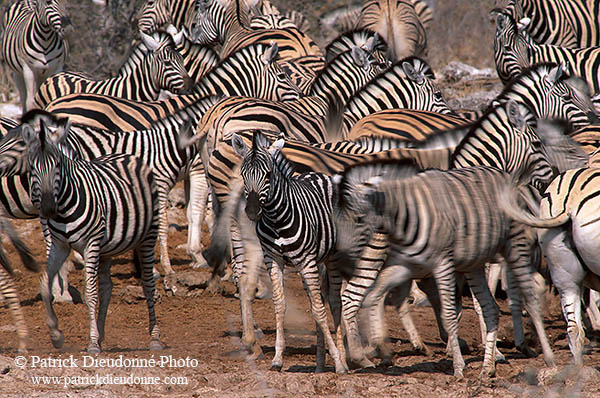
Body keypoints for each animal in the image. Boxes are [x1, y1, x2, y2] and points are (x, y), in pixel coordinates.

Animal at [17, 113, 162, 352]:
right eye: (31, 167)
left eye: (58, 165)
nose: (48, 208)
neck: (64, 209)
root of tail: (130, 156)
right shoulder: (59, 245)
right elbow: (46, 287)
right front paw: (56, 335)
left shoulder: (90, 244)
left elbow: (90, 293)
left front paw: (92, 343)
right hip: (108, 246)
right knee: (107, 287)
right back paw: (103, 335)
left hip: (148, 237)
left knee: (148, 284)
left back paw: (154, 338)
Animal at [330, 161, 556, 376]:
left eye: (358, 218)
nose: (339, 255)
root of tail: (506, 176)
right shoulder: (420, 266)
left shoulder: (435, 265)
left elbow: (450, 310)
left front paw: (459, 360)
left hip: (506, 249)